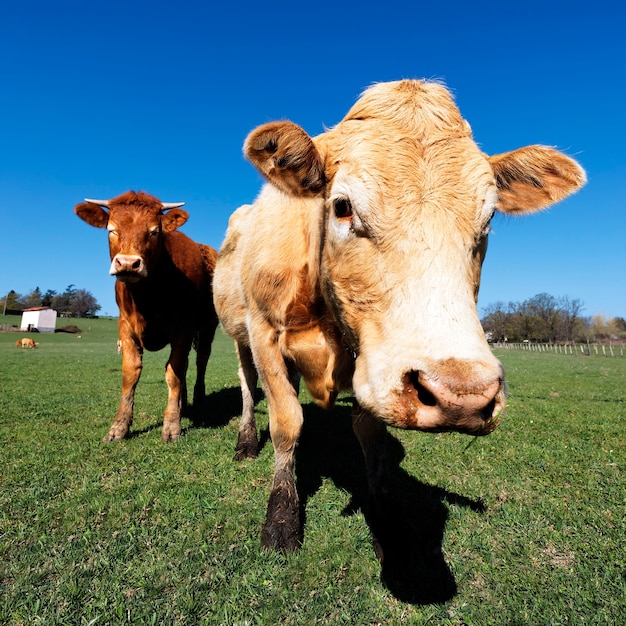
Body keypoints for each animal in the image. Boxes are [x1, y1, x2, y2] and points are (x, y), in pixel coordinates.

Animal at [75, 189, 218, 438]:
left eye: (154, 231)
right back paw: (183, 403)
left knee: (201, 360)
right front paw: (119, 426)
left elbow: (174, 371)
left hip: (209, 326)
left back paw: (198, 398)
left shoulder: (184, 327)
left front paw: (171, 425)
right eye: (111, 229)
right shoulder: (125, 325)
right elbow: (131, 372)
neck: (148, 296)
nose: (128, 263)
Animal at [212, 79, 584, 552]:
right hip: (239, 334)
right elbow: (286, 423)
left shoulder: (372, 358)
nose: (462, 395)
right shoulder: (265, 333)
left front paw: (386, 509)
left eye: (488, 219)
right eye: (342, 206)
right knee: (247, 384)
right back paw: (245, 440)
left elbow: (368, 431)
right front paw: (281, 517)